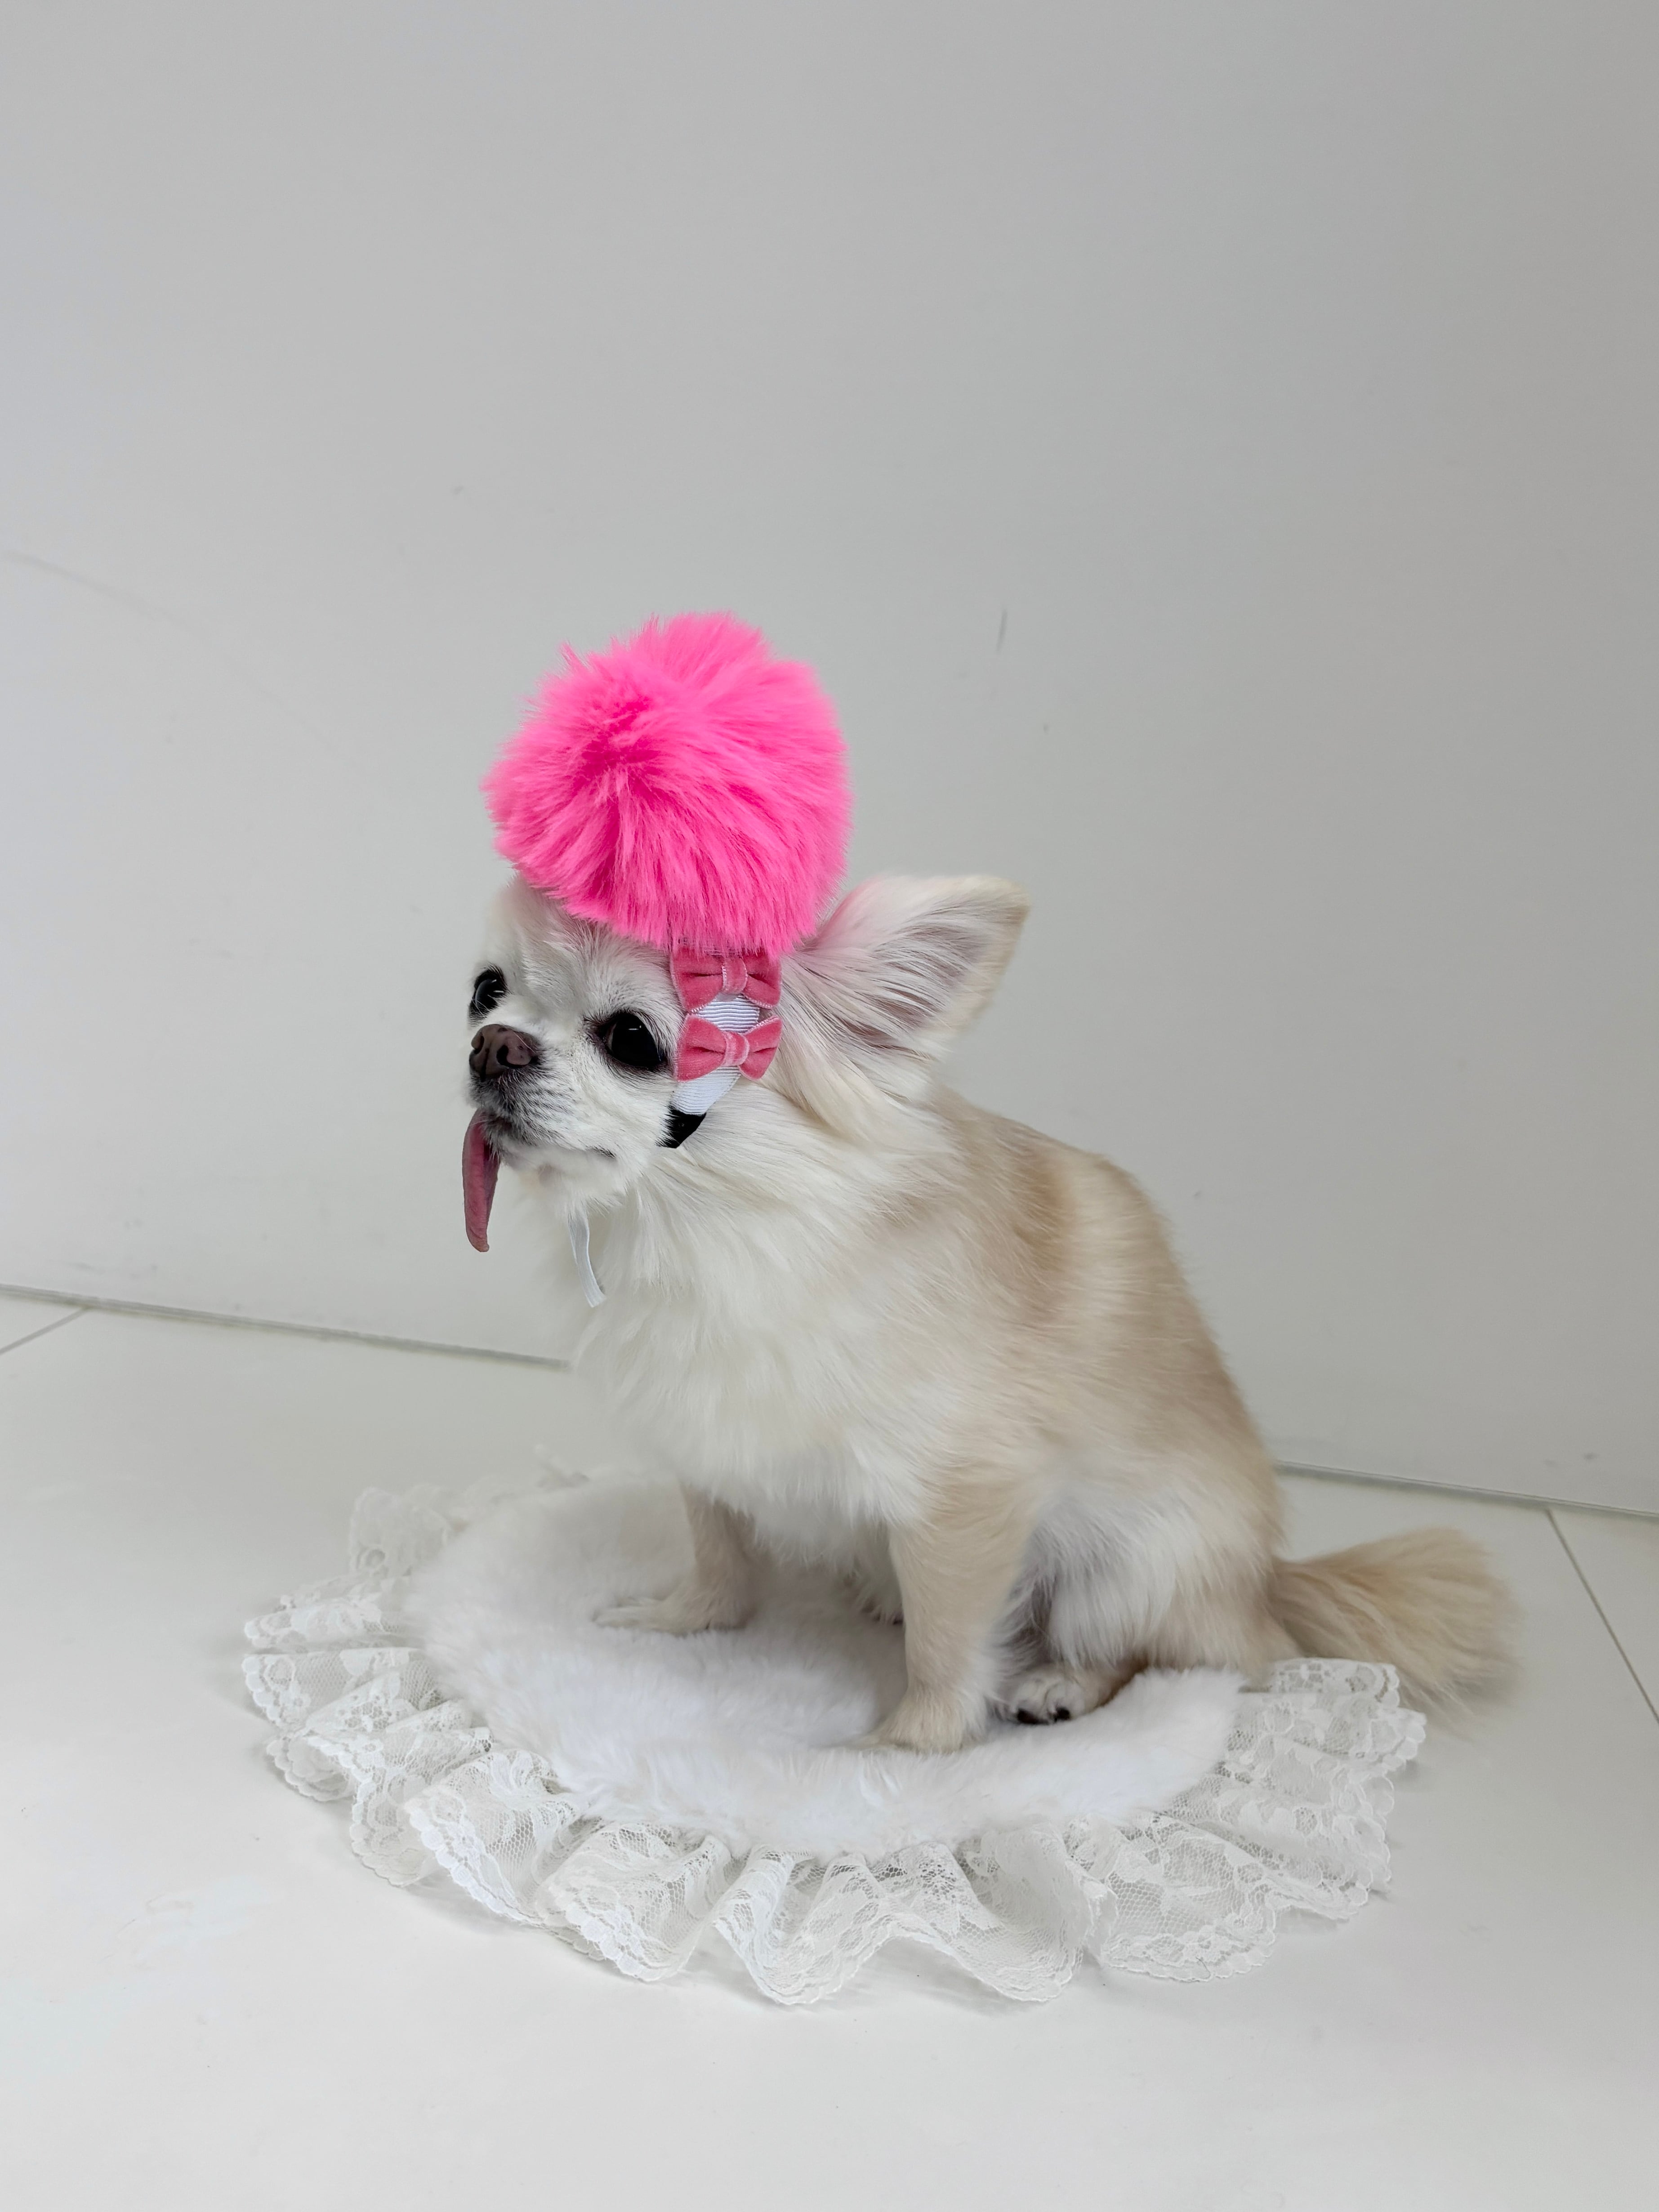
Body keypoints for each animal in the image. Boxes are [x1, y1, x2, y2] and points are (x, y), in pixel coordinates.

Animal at [464, 869, 1510, 1753]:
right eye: (484, 990)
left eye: (631, 1040)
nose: (492, 1044)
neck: (701, 1228)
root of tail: (1267, 1583)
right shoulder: (707, 1437)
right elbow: (720, 1552)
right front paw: (683, 1620)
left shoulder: (968, 1498)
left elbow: (946, 1643)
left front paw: (901, 1752)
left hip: (1126, 1574)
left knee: (1177, 1654)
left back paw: (1062, 1684)